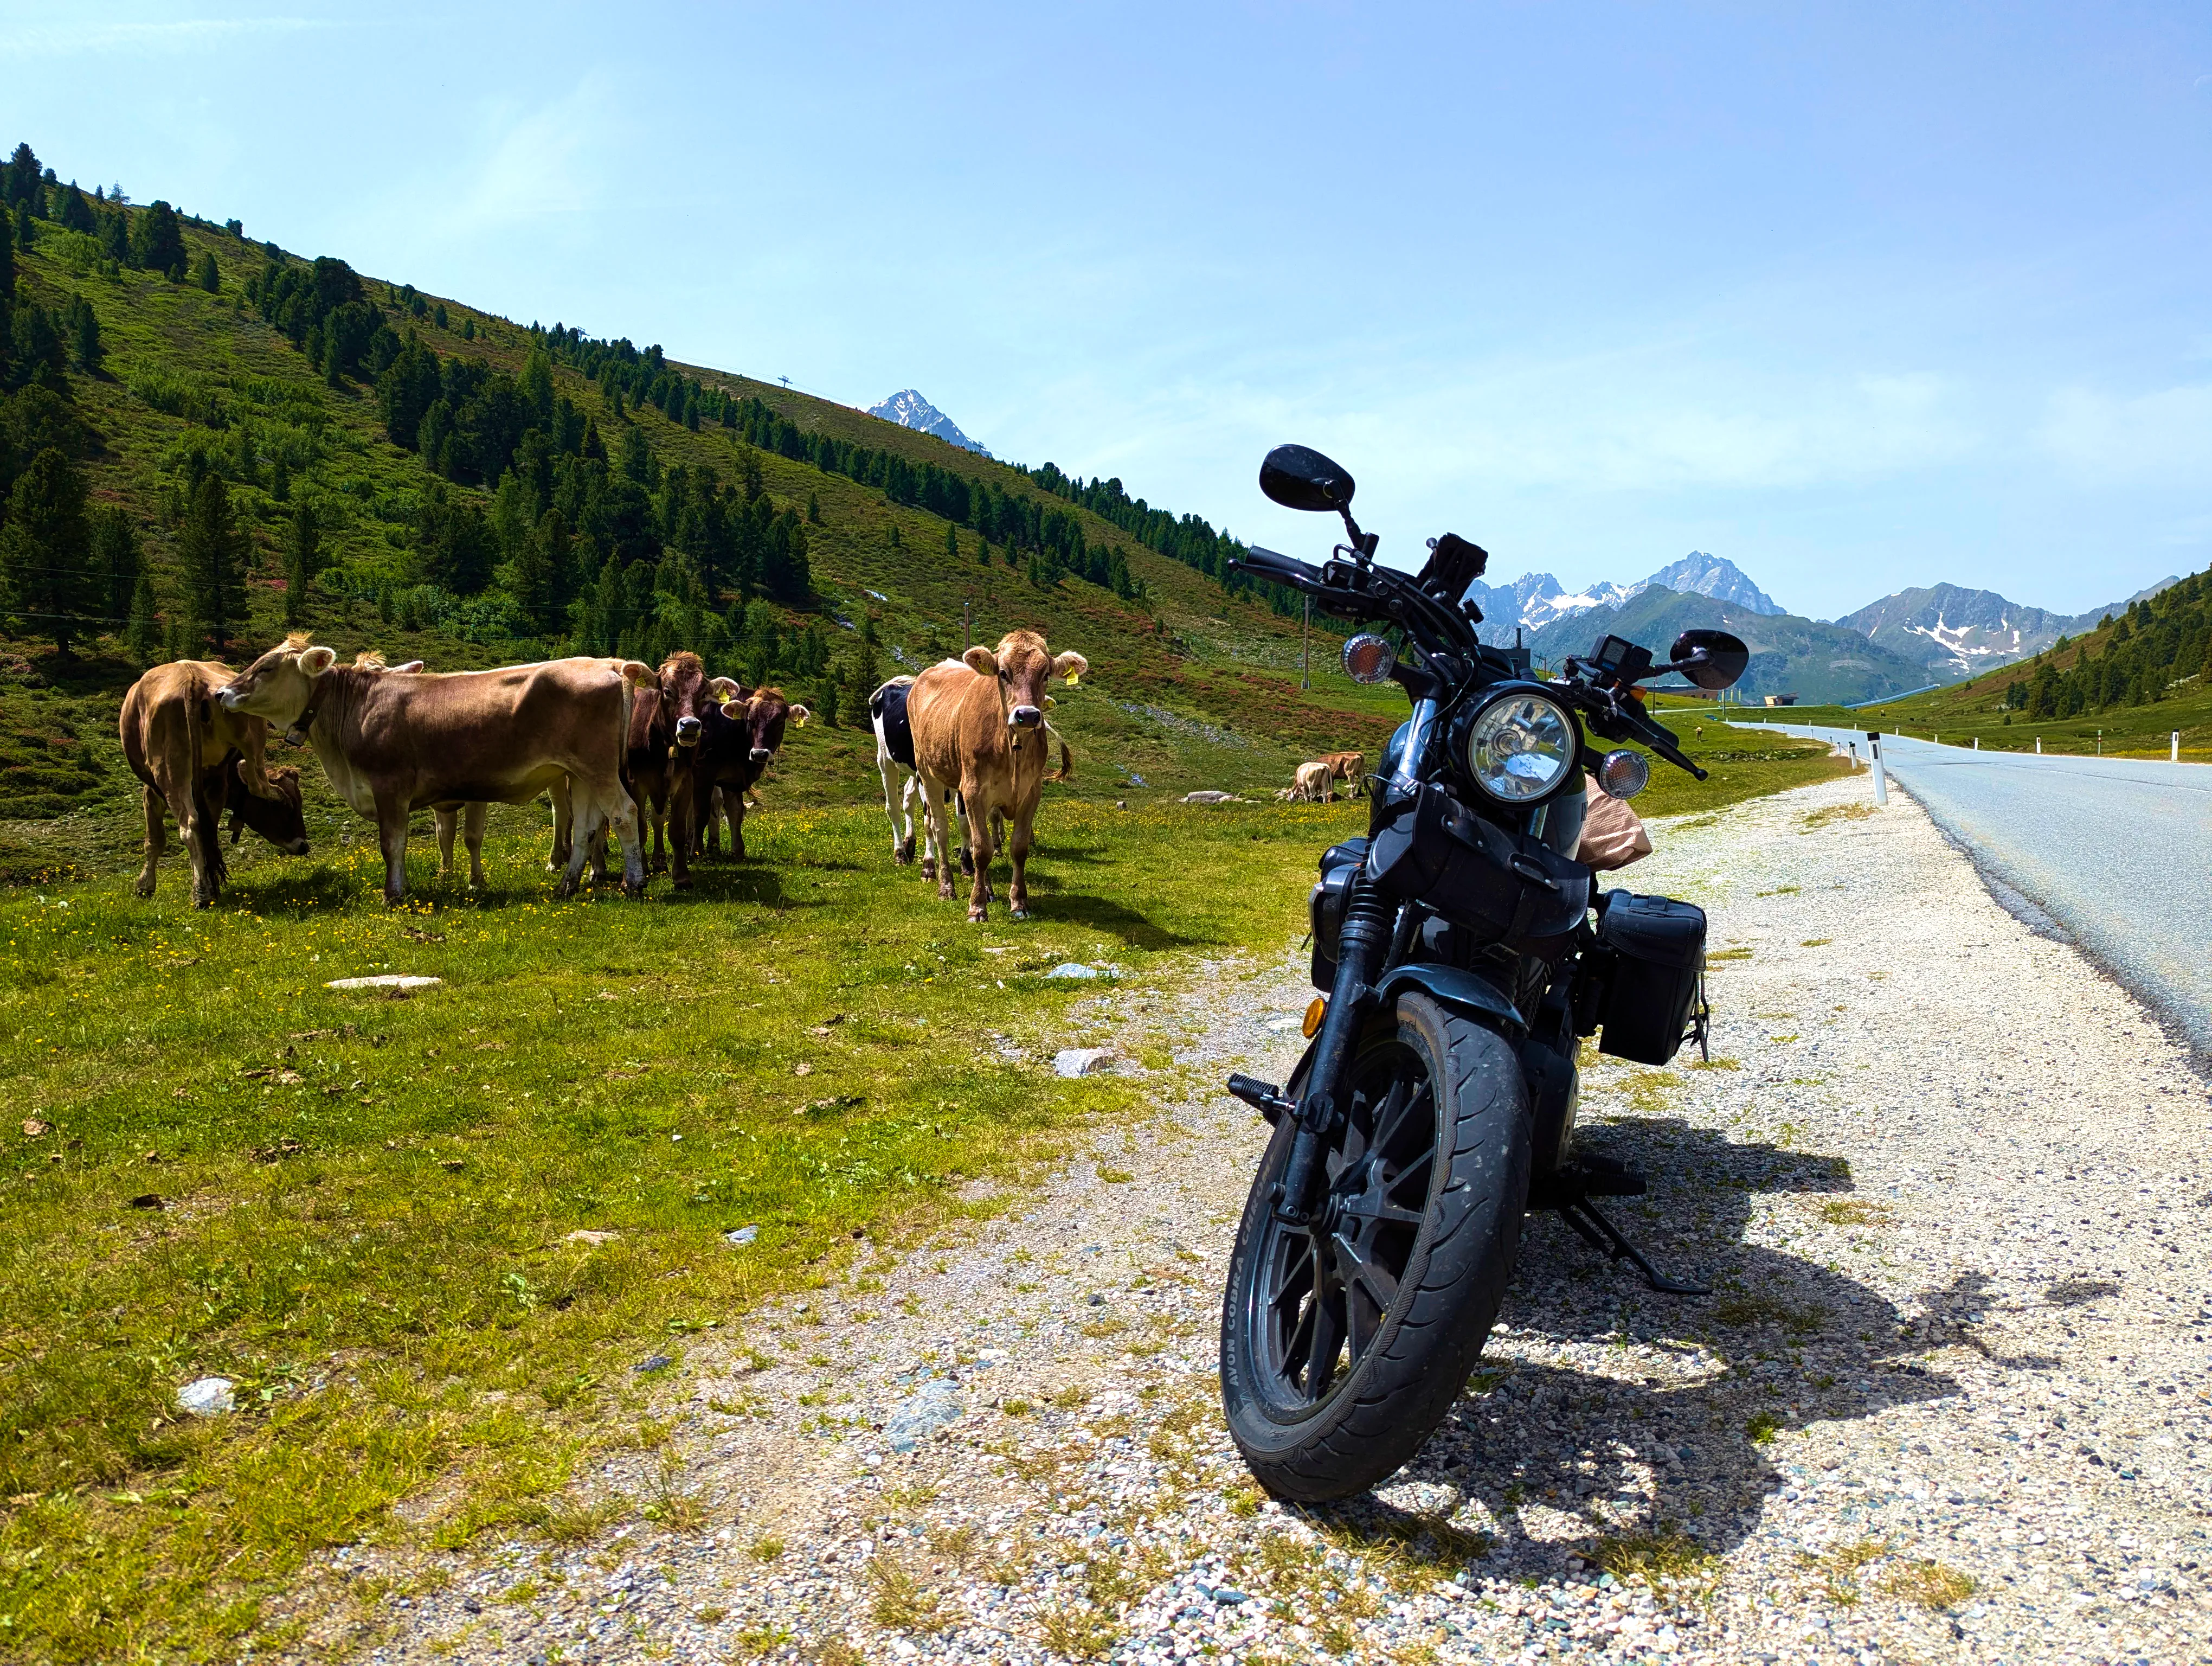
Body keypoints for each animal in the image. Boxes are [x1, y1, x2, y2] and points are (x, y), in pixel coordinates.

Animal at [119, 661, 309, 906]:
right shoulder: (214, 785)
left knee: (199, 820)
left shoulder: (153, 789)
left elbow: (157, 839)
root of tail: (192, 681)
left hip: (174, 768)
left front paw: (146, 885)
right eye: (288, 809)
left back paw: (201, 893)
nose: (304, 845)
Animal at [215, 634, 655, 902]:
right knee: (586, 826)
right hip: (579, 773)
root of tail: (609, 664)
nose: (221, 692)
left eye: (267, 667)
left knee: (624, 813)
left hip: (598, 768)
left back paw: (634, 882)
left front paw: (394, 893)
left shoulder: (390, 786)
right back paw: (567, 884)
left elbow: (392, 843)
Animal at [906, 629, 1086, 922]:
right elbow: (982, 850)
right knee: (940, 829)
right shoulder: (974, 790)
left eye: (1046, 674)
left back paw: (989, 889)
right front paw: (977, 906)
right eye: (1003, 672)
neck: (1012, 745)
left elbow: (1018, 848)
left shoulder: (1031, 793)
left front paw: (1019, 902)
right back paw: (946, 886)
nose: (1027, 715)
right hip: (927, 772)